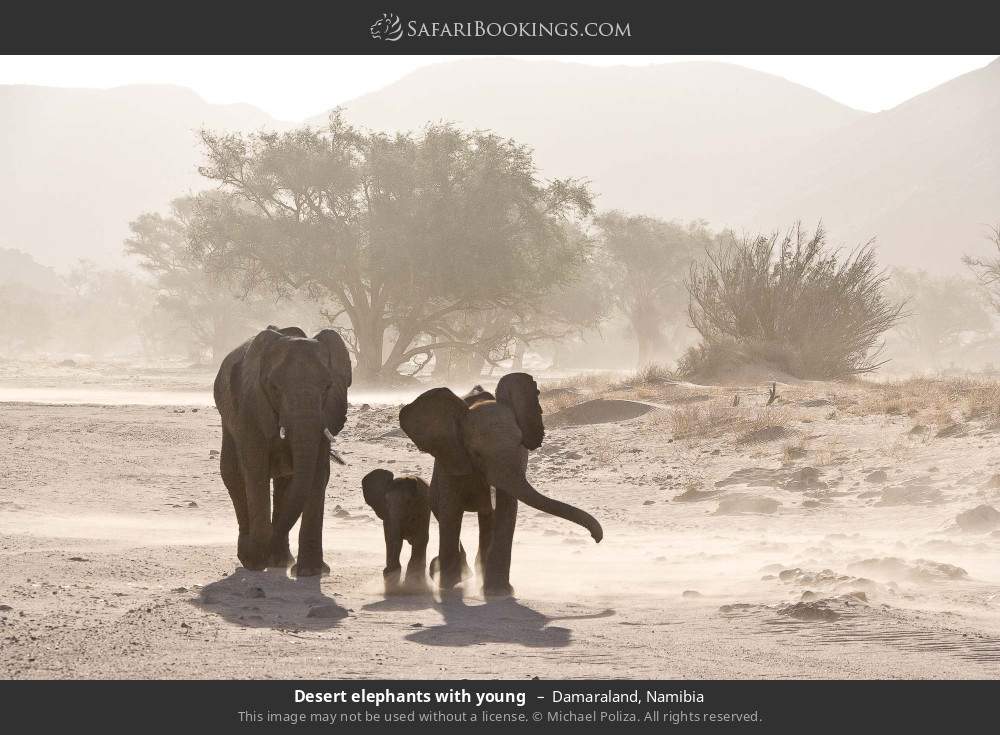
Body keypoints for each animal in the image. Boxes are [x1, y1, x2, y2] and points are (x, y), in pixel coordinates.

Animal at [214, 325, 352, 576]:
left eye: (327, 387)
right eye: (274, 388)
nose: (260, 554)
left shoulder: (328, 412)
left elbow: (317, 474)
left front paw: (311, 572)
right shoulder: (251, 408)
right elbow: (255, 470)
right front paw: (255, 562)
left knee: (286, 483)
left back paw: (279, 560)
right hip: (228, 421)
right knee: (233, 476)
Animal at [399, 372, 603, 597]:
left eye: (521, 443)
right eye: (476, 453)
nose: (596, 538)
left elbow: (506, 509)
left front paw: (499, 592)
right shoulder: (450, 457)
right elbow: (451, 510)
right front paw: (449, 586)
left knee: (487, 518)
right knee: (445, 512)